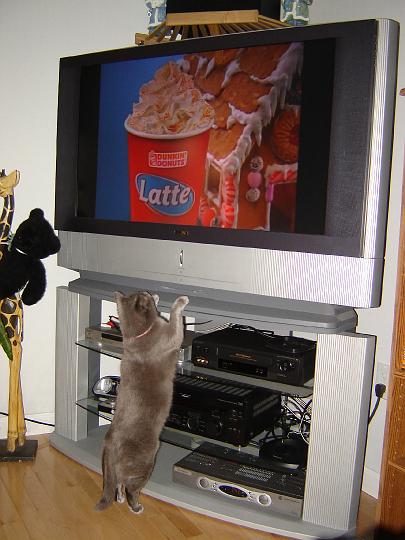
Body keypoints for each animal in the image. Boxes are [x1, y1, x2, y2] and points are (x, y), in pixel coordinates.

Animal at [95, 290, 189, 514]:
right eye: (144, 295)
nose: (152, 292)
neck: (136, 336)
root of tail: (108, 444)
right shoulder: (172, 336)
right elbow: (176, 319)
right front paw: (180, 301)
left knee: (118, 482)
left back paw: (120, 499)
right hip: (145, 463)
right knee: (131, 487)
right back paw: (135, 507)